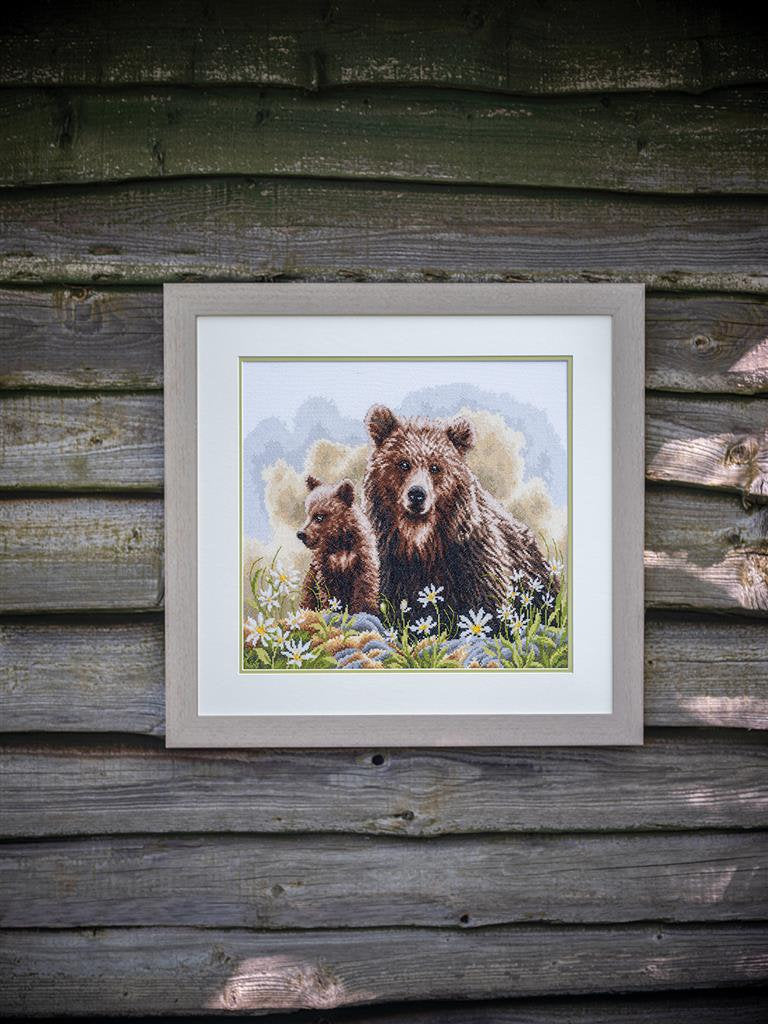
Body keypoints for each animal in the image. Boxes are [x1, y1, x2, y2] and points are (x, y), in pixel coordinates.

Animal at [296, 476, 380, 615]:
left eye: (319, 516)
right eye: (308, 513)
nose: (301, 534)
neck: (340, 541)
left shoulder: (362, 558)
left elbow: (364, 585)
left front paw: (364, 610)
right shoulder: (326, 565)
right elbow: (329, 591)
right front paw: (333, 610)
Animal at [363, 404, 555, 618]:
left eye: (435, 467)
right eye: (403, 463)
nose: (417, 494)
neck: (420, 541)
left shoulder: (471, 558)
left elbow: (487, 603)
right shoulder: (388, 560)